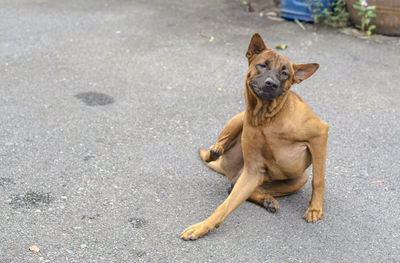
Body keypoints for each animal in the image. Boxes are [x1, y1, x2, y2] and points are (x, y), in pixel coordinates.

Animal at [181, 33, 328, 241]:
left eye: (285, 73)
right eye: (263, 65)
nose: (271, 83)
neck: (267, 118)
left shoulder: (320, 134)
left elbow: (319, 180)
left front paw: (315, 209)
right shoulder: (252, 171)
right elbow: (224, 206)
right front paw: (203, 226)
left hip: (298, 177)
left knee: (239, 187)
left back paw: (267, 199)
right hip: (239, 118)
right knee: (220, 157)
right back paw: (216, 150)